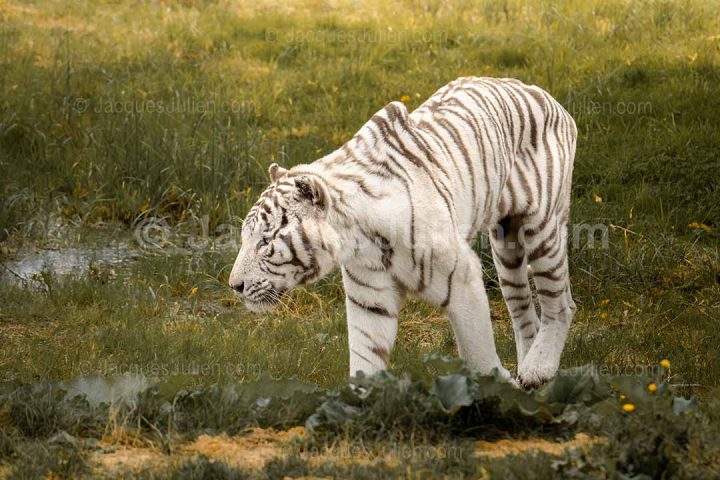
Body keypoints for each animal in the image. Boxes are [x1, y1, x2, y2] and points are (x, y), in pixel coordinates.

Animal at [229, 76, 577, 387]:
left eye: (265, 242)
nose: (235, 286)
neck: (359, 237)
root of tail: (547, 96)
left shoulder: (461, 278)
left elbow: (477, 348)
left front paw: (499, 389)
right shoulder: (369, 298)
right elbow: (364, 358)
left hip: (541, 230)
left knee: (560, 305)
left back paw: (538, 369)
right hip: (506, 246)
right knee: (524, 313)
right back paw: (529, 369)